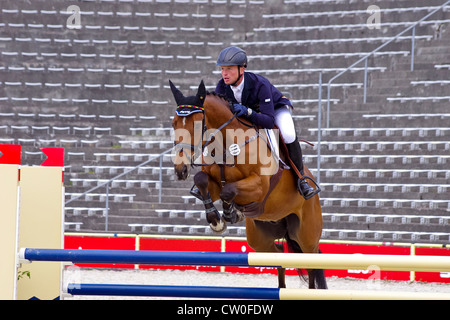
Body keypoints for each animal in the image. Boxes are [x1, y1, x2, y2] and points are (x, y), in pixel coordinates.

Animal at [170, 80, 326, 290]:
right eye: (174, 124)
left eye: (197, 125)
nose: (181, 169)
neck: (227, 143)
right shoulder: (214, 185)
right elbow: (202, 180)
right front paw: (217, 220)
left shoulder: (259, 186)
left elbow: (229, 190)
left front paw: (230, 214)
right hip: (260, 238)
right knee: (278, 254)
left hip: (306, 234)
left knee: (312, 263)